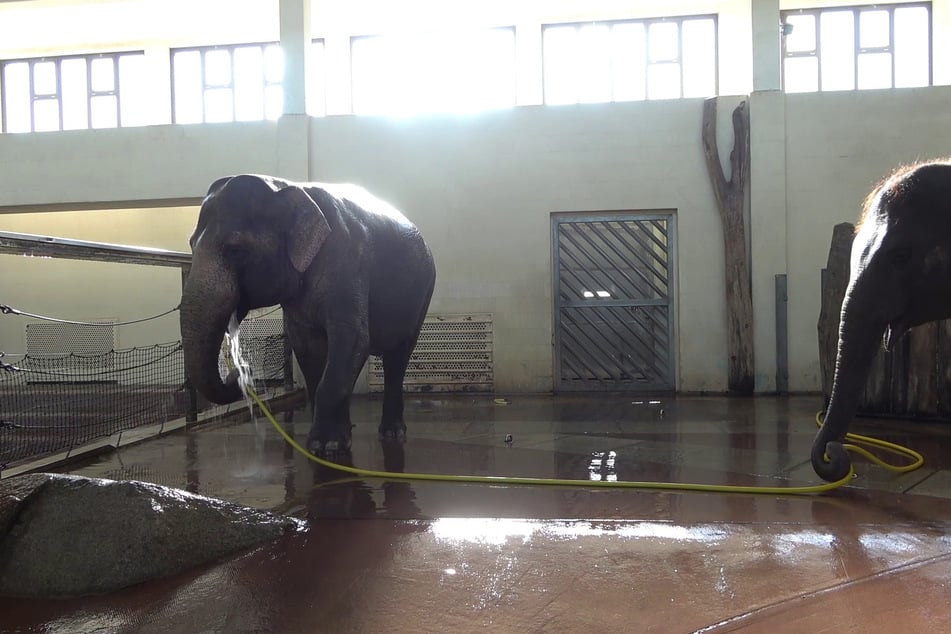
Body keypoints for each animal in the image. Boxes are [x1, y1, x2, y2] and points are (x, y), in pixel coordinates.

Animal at [180, 173, 436, 454]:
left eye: (236, 250)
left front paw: (327, 446)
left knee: (397, 357)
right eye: (191, 245)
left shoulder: (347, 261)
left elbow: (353, 338)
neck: (288, 187)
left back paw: (392, 433)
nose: (241, 372)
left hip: (424, 292)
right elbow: (306, 346)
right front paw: (328, 441)